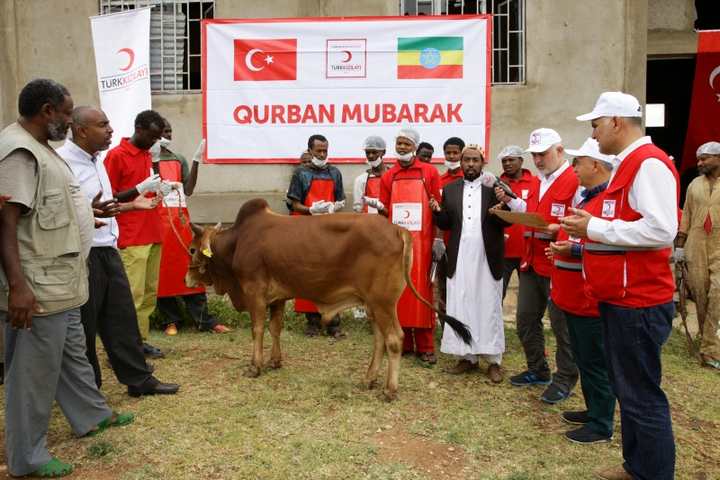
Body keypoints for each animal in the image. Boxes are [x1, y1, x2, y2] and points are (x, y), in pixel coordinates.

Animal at [184, 197, 472, 400]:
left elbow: (257, 330)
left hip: (383, 303)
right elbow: (275, 328)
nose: (187, 279)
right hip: (373, 305)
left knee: (394, 339)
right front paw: (275, 361)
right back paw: (368, 379)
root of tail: (396, 229)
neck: (237, 242)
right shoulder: (278, 297)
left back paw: (389, 390)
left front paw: (255, 366)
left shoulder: (255, 293)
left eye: (192, 249)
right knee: (379, 340)